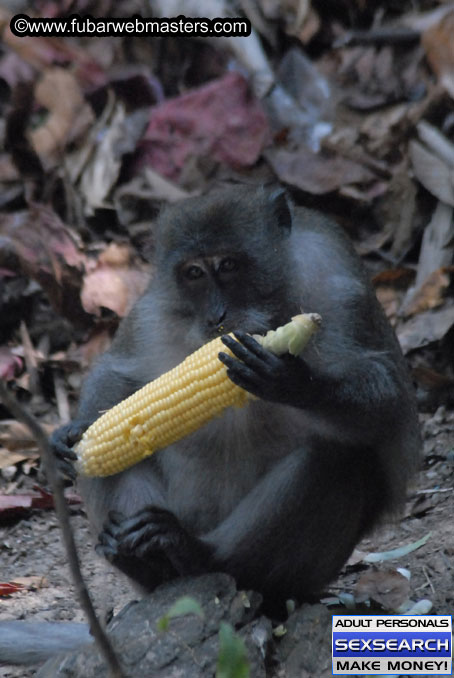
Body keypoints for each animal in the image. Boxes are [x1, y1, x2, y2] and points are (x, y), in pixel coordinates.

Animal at [0, 185, 418, 664]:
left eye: (230, 266)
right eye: (195, 273)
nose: (217, 315)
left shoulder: (335, 283)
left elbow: (388, 402)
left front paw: (294, 381)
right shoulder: (154, 311)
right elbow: (119, 375)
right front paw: (70, 433)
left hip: (296, 578)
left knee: (338, 457)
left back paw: (200, 557)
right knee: (108, 464)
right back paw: (148, 562)